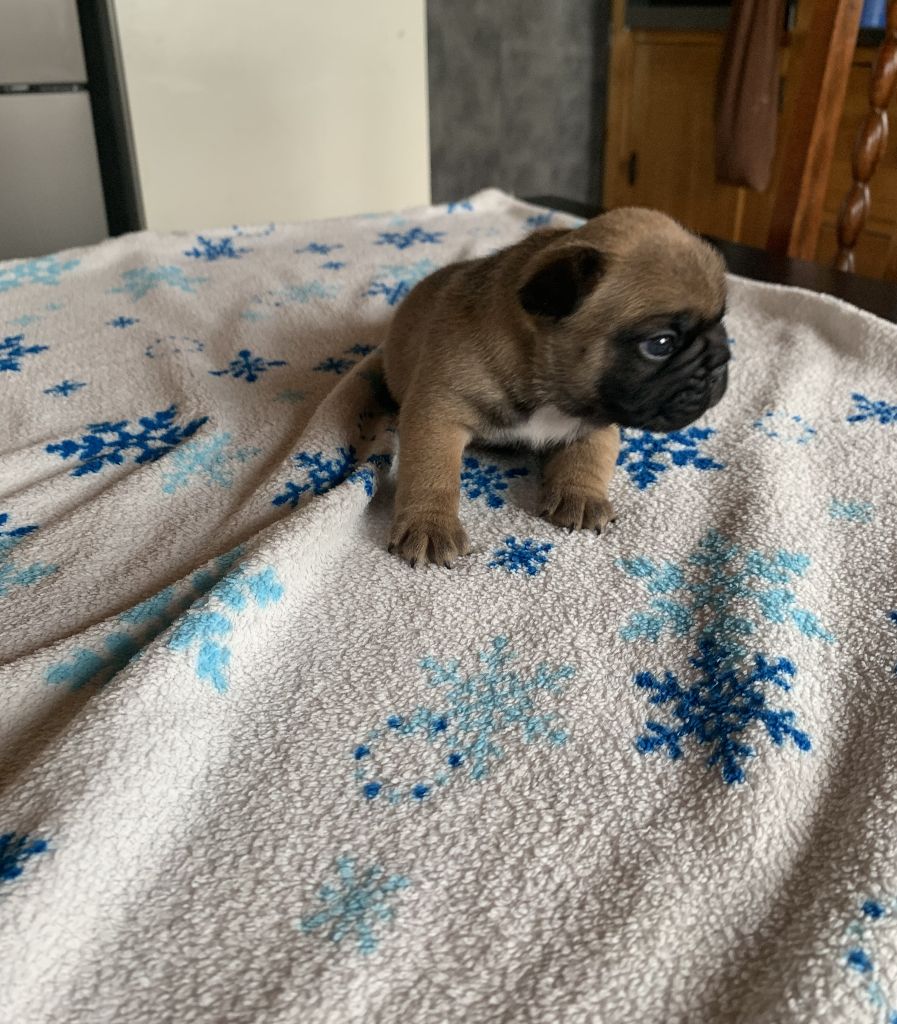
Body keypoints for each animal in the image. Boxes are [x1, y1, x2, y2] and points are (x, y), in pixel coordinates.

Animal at [382, 207, 729, 567]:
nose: (721, 360)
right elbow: (432, 471)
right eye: (660, 344)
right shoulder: (437, 413)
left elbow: (589, 456)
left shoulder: (600, 417)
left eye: (722, 320)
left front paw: (581, 497)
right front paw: (430, 525)